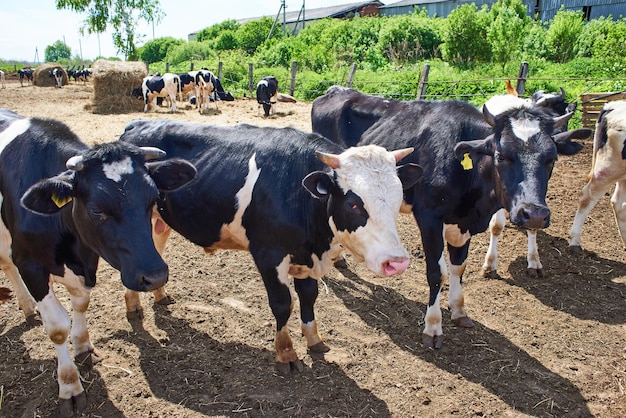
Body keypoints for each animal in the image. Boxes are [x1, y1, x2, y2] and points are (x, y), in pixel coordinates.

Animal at [118, 119, 420, 374]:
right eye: (354, 203)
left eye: (398, 199)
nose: (397, 262)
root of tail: (138, 124)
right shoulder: (268, 254)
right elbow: (282, 303)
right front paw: (286, 353)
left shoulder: (304, 256)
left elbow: (309, 296)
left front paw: (313, 339)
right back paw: (133, 306)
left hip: (161, 222)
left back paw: (159, 295)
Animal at [310, 85, 584, 350]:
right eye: (501, 156)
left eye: (551, 158)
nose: (534, 214)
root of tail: (336, 91)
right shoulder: (429, 218)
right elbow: (436, 272)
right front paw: (433, 327)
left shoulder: (463, 223)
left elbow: (458, 266)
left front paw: (458, 309)